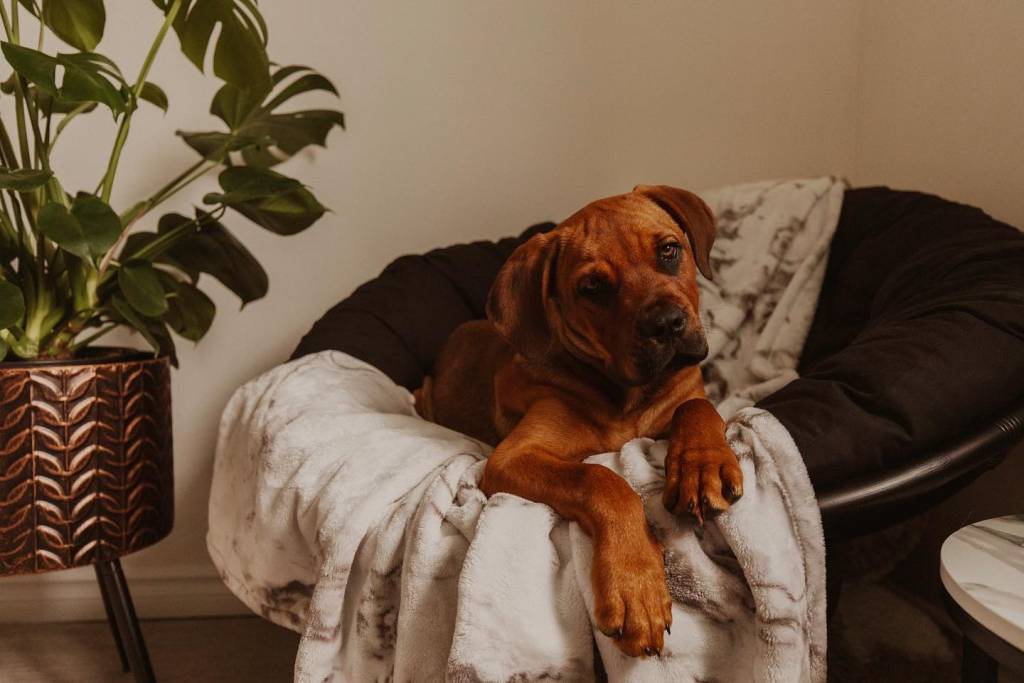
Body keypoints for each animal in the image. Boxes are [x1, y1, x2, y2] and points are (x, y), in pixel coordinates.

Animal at [414, 185, 743, 658]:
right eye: (593, 288)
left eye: (668, 251)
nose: (666, 324)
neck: (625, 393)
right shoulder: (512, 457)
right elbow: (601, 480)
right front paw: (635, 586)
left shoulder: (686, 393)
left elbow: (698, 409)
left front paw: (701, 467)